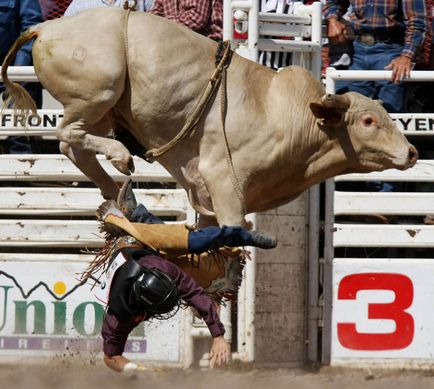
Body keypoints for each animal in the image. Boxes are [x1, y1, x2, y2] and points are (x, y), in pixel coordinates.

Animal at [1, 7, 418, 226]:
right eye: (368, 121)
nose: (412, 152)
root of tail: (47, 25)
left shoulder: (206, 195)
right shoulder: (224, 182)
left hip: (104, 108)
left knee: (73, 146)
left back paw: (114, 192)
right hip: (97, 92)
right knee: (69, 134)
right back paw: (120, 159)